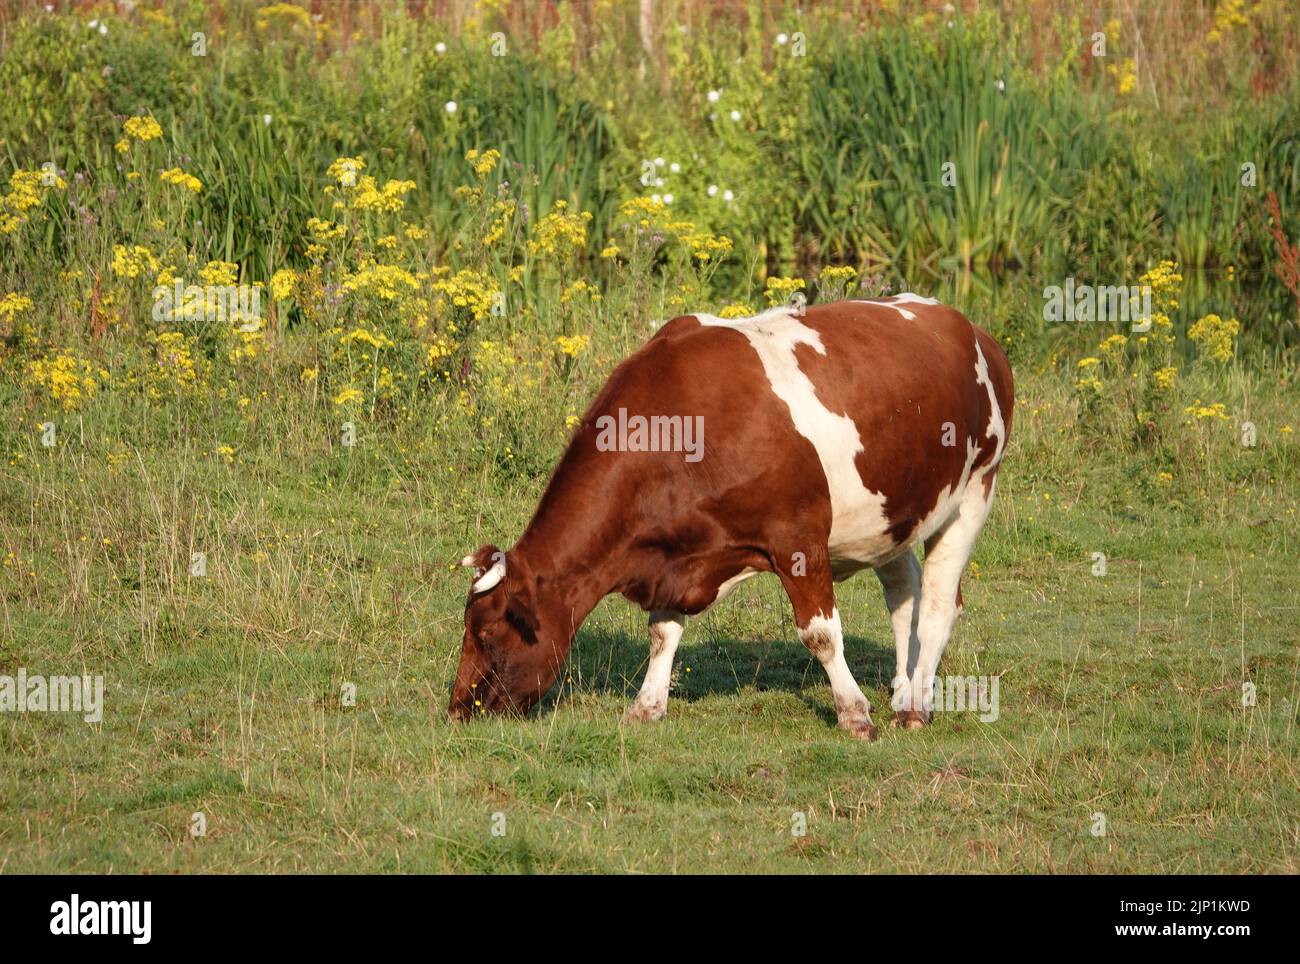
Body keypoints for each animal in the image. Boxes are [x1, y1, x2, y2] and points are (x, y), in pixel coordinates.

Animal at [451, 296, 1013, 739]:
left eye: (486, 633)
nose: (458, 709)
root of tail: (968, 326)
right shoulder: (676, 552)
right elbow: (663, 632)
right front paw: (646, 706)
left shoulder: (798, 536)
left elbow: (820, 634)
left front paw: (854, 714)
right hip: (888, 516)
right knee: (904, 598)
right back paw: (902, 690)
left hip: (973, 493)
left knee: (939, 605)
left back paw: (916, 707)